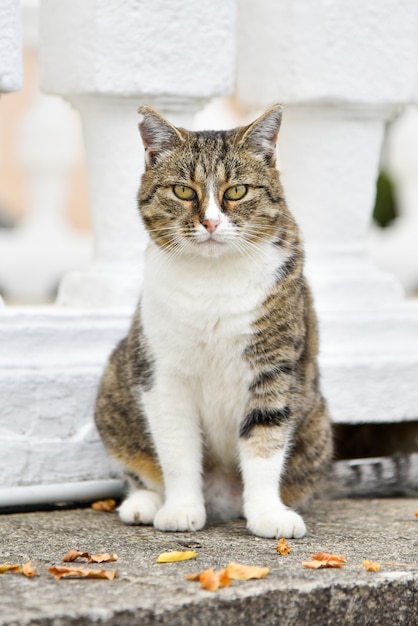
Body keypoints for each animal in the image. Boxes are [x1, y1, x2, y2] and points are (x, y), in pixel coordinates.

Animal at [95, 102, 334, 536]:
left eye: (236, 191)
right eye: (183, 191)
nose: (210, 222)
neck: (213, 280)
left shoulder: (273, 369)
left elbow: (264, 444)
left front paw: (267, 514)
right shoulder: (162, 375)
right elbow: (176, 450)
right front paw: (180, 509)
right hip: (114, 382)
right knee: (141, 472)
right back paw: (144, 504)